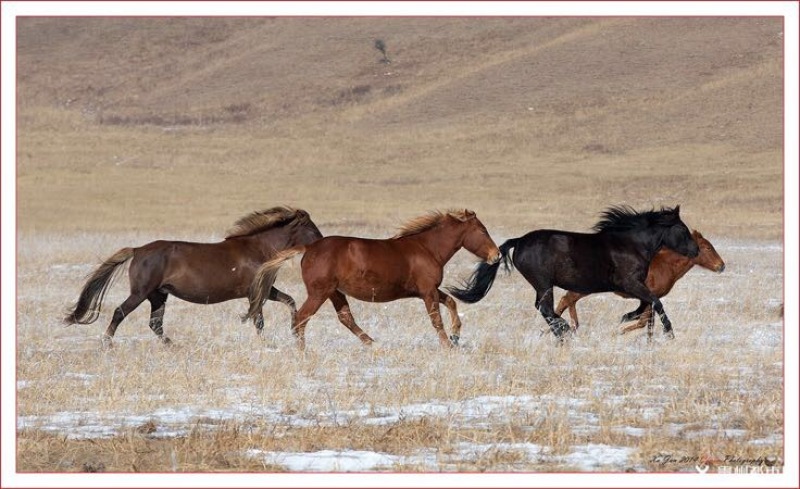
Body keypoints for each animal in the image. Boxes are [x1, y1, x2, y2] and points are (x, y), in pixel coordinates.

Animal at [64, 206, 323, 347]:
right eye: (311, 227)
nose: (323, 242)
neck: (258, 249)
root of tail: (137, 250)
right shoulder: (255, 292)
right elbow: (258, 319)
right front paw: (266, 343)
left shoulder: (266, 290)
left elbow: (289, 301)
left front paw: (294, 330)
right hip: (141, 292)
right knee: (120, 312)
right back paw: (107, 343)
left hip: (158, 295)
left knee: (155, 324)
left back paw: (172, 345)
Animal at [244, 209, 501, 350]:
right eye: (483, 230)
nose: (496, 255)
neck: (427, 248)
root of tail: (309, 247)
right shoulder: (428, 291)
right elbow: (436, 319)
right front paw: (448, 344)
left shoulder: (428, 290)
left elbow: (451, 303)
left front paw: (456, 336)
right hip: (319, 292)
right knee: (301, 318)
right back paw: (302, 350)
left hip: (334, 292)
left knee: (345, 317)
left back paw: (372, 344)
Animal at [447, 205, 699, 341]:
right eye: (683, 229)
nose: (696, 250)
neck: (630, 244)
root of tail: (519, 241)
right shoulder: (630, 283)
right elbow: (656, 302)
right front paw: (669, 333)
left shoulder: (634, 286)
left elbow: (647, 304)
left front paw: (628, 316)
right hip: (544, 283)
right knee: (545, 308)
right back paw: (565, 331)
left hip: (542, 285)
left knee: (543, 308)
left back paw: (562, 332)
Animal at [555, 230, 725, 333]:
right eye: (707, 248)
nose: (721, 266)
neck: (666, 265)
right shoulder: (650, 296)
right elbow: (644, 322)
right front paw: (620, 331)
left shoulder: (650, 299)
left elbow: (648, 322)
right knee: (566, 299)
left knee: (569, 300)